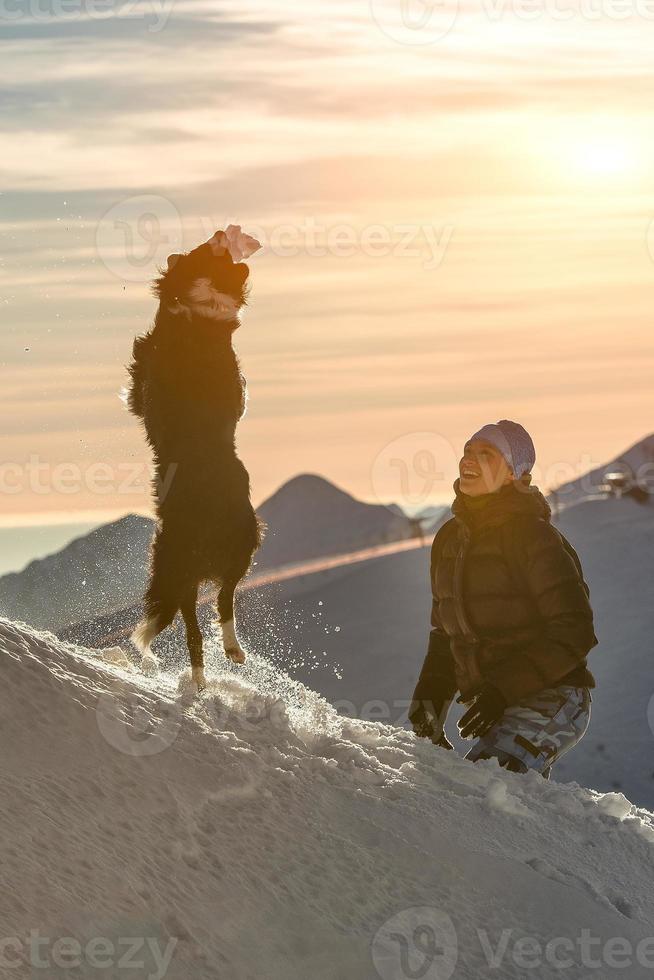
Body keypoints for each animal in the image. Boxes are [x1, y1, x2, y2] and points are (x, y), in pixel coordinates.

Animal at [127, 229, 262, 688]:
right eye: (207, 248)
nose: (222, 233)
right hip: (227, 551)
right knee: (214, 607)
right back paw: (219, 664)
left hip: (222, 551)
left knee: (208, 611)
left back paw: (214, 666)